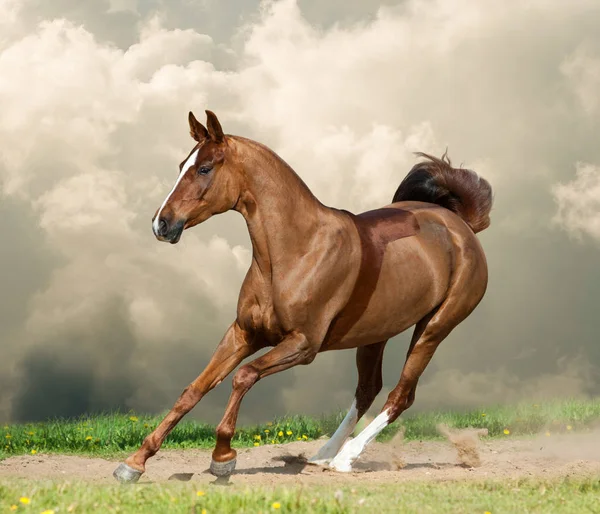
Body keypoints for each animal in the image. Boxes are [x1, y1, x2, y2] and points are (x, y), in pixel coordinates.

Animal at [112, 110, 492, 482]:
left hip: (434, 328)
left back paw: (345, 458)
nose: (161, 224)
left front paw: (223, 457)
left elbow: (243, 376)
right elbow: (193, 390)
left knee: (401, 395)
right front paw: (134, 463)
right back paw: (323, 455)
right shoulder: (243, 334)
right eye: (182, 165)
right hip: (375, 335)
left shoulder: (302, 345)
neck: (296, 250)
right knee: (367, 390)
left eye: (204, 168)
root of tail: (460, 226)